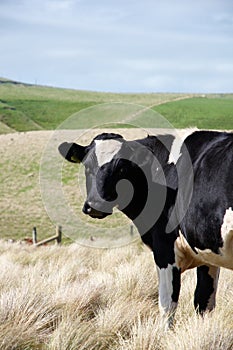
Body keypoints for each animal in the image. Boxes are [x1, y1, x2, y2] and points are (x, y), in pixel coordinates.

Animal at [58, 130, 233, 326]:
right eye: (87, 165)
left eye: (121, 169)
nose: (95, 205)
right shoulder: (205, 251)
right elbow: (203, 302)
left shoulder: (165, 249)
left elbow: (167, 306)